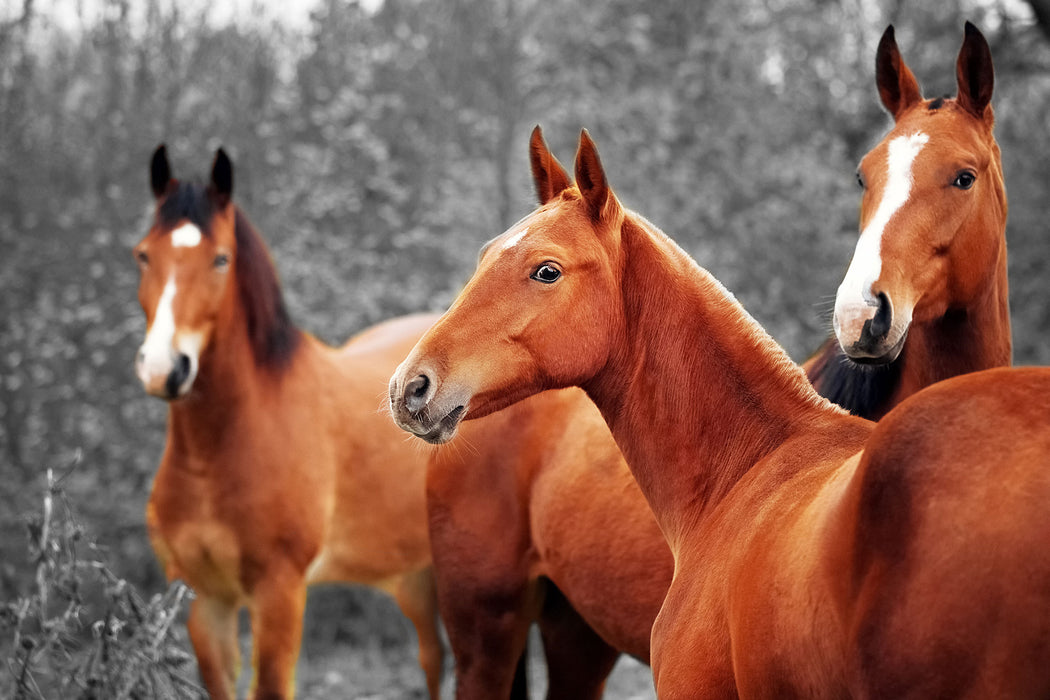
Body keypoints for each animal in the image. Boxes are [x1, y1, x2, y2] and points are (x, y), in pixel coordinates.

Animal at [132, 147, 443, 700]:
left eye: (221, 259)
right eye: (145, 255)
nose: (164, 369)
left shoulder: (279, 593)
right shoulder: (206, 601)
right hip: (415, 577)